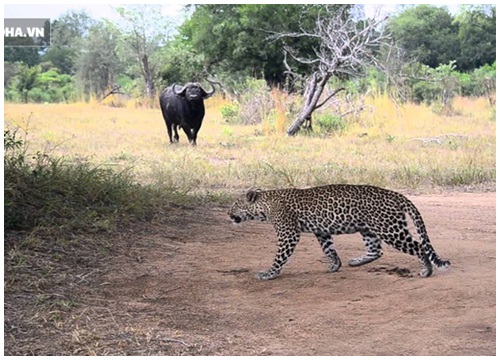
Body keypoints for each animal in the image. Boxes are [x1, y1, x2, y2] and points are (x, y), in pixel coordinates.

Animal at [229, 184, 452, 280]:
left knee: (419, 246)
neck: (265, 205)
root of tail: (396, 194)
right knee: (376, 250)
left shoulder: (288, 234)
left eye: (235, 205)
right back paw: (355, 261)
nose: (228, 215)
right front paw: (335, 265)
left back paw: (426, 271)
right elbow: (329, 250)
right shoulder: (321, 231)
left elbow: (279, 257)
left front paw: (269, 273)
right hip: (368, 228)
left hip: (390, 230)